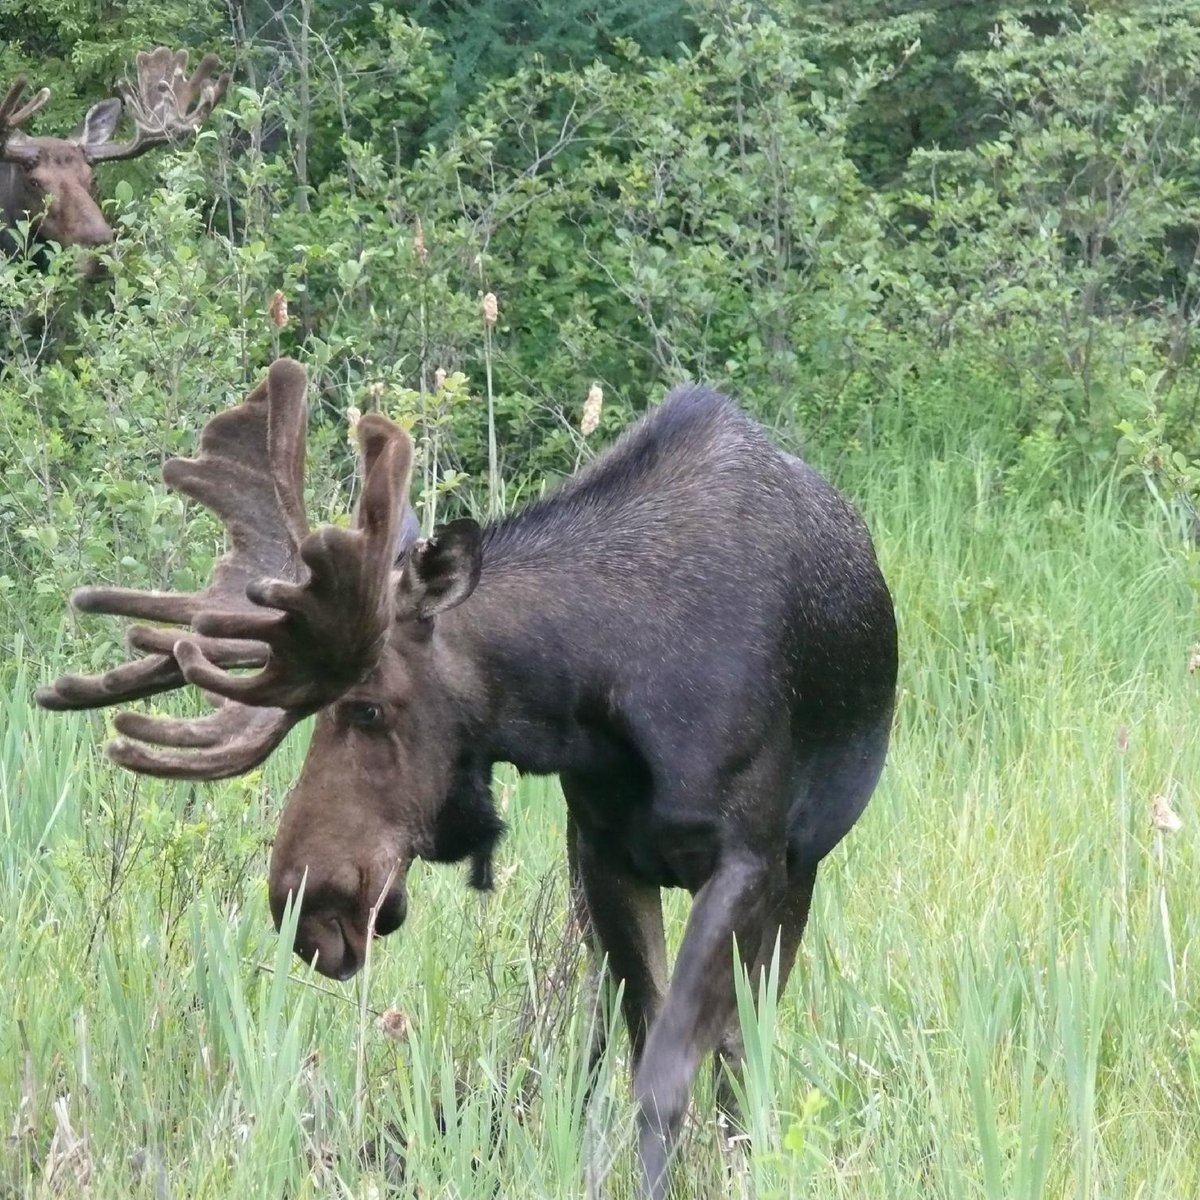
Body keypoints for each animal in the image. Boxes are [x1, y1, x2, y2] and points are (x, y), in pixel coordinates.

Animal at [37, 357, 897, 1200]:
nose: (301, 899)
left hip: (799, 870)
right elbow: (643, 1046)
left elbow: (679, 1068)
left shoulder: (748, 857)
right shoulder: (601, 854)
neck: (599, 687)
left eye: (369, 709)